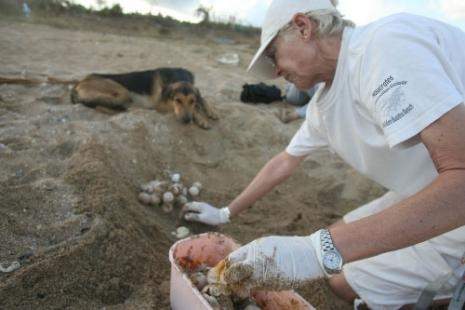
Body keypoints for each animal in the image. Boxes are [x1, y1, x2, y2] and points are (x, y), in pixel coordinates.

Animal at [70, 68, 218, 130]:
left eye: (192, 101)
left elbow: (202, 98)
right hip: (123, 92)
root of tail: (78, 83)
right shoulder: (160, 105)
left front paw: (211, 111)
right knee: (100, 106)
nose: (186, 121)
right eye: (178, 100)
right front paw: (202, 118)